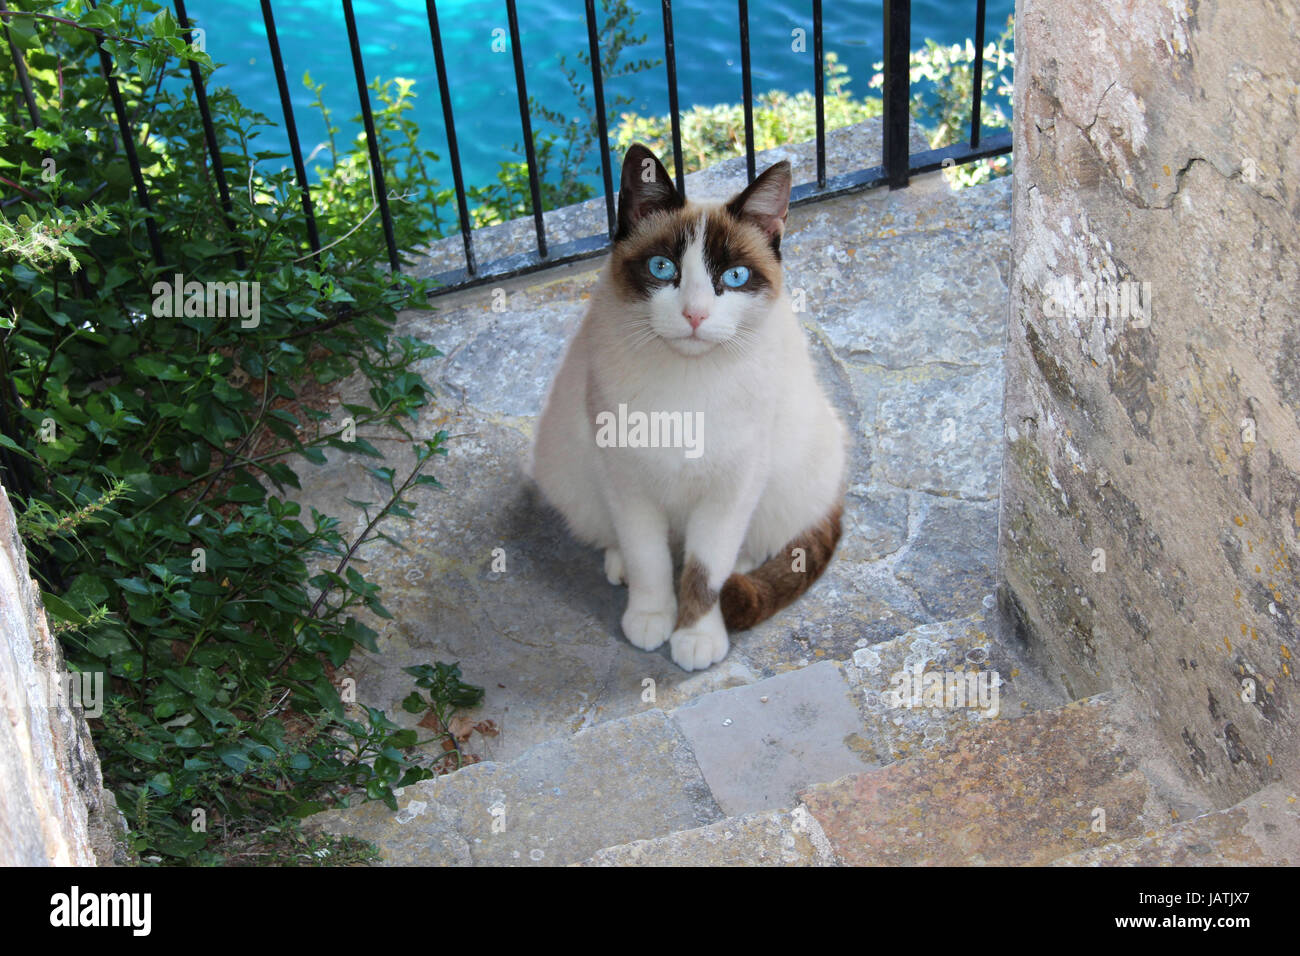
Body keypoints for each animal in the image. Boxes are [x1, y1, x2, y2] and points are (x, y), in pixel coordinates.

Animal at [527, 141, 842, 671]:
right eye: (662, 269)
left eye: (734, 276)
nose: (695, 315)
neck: (689, 388)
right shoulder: (627, 480)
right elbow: (648, 558)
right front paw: (651, 617)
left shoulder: (731, 488)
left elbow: (703, 571)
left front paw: (695, 637)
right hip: (569, 469)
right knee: (620, 539)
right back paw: (618, 565)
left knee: (753, 545)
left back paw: (740, 566)